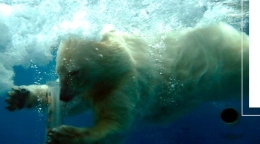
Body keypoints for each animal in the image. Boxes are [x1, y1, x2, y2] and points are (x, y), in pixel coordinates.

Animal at [4, 23, 248, 143]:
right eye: (59, 72)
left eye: (74, 71)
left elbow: (116, 123)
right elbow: (77, 105)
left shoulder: (126, 82)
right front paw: (20, 95)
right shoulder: (96, 86)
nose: (63, 95)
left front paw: (67, 134)